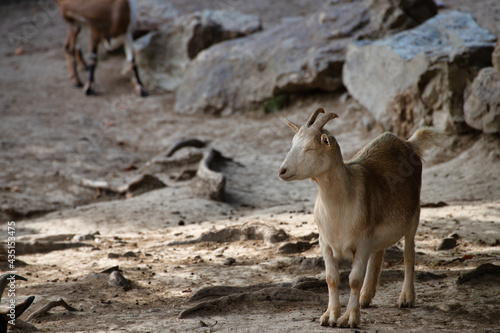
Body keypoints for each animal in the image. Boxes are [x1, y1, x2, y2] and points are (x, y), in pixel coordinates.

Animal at [280, 108, 444, 326]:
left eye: (309, 148)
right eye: (292, 144)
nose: (282, 171)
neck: (339, 210)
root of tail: (409, 143)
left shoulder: (362, 242)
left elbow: (354, 279)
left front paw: (349, 318)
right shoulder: (325, 243)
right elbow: (331, 278)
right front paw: (330, 316)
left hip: (414, 215)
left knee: (409, 254)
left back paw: (406, 298)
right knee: (379, 254)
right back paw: (366, 297)